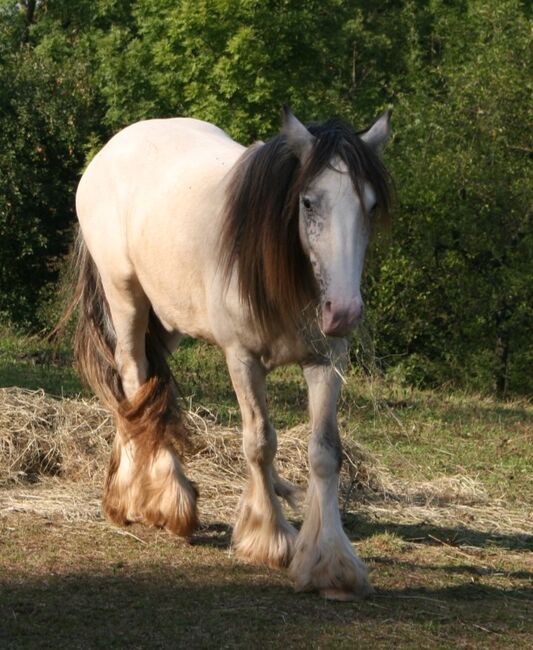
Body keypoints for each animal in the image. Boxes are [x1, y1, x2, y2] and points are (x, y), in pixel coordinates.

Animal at [63, 106, 390, 596]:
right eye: (308, 202)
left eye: (369, 205)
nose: (345, 312)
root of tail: (112, 148)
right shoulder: (242, 358)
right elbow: (260, 442)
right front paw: (270, 538)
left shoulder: (327, 361)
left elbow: (325, 452)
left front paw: (330, 562)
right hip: (126, 300)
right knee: (132, 378)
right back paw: (160, 499)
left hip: (168, 316)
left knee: (142, 394)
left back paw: (131, 496)